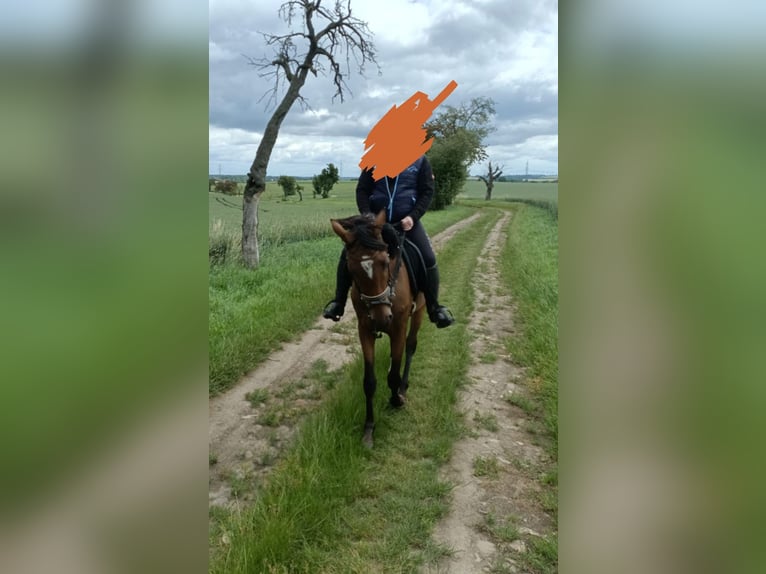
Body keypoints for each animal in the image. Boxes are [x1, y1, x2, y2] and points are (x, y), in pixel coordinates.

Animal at [330, 211, 426, 448]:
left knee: (411, 347)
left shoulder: (399, 327)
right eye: (351, 268)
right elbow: (369, 381)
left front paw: (396, 399)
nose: (382, 317)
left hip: (419, 311)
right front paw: (369, 429)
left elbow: (393, 375)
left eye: (384, 262)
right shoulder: (364, 330)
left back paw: (403, 387)